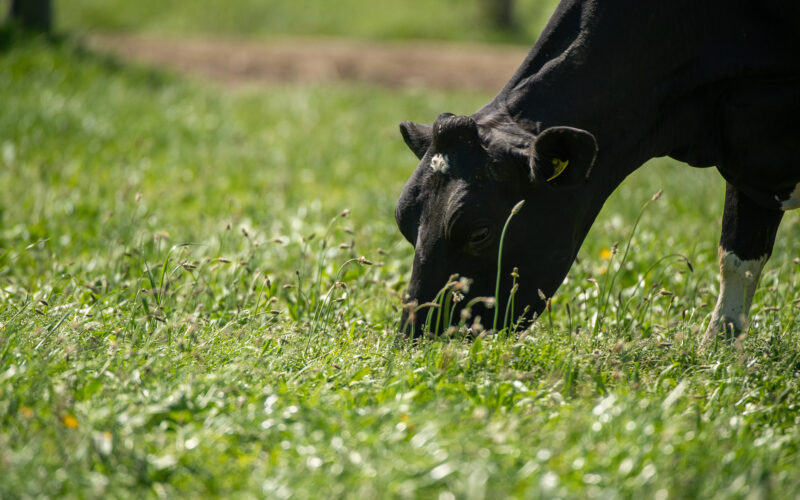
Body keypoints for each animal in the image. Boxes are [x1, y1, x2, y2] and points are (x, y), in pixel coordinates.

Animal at [394, 0, 800, 344]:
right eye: (404, 222)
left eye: (479, 232)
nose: (414, 338)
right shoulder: (749, 162)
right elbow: (737, 258)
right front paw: (718, 352)